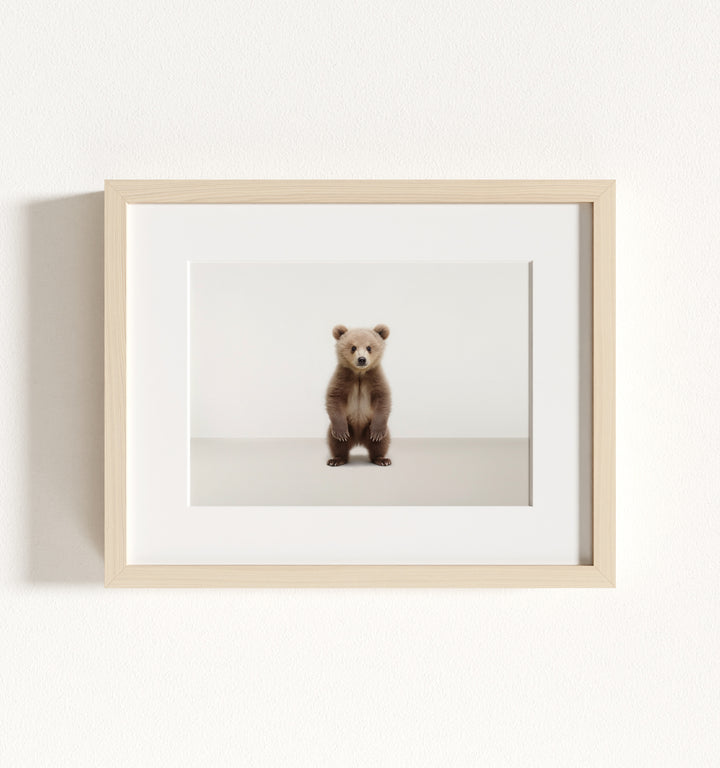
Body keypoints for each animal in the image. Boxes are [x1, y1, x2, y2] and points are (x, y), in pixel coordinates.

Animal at [325, 324, 392, 467]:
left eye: (369, 347)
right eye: (353, 347)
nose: (362, 359)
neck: (359, 374)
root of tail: (358, 441)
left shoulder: (375, 377)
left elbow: (383, 398)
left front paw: (377, 433)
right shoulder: (342, 377)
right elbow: (334, 398)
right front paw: (341, 433)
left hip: (368, 426)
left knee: (381, 442)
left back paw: (382, 459)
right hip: (348, 426)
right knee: (336, 442)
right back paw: (336, 459)